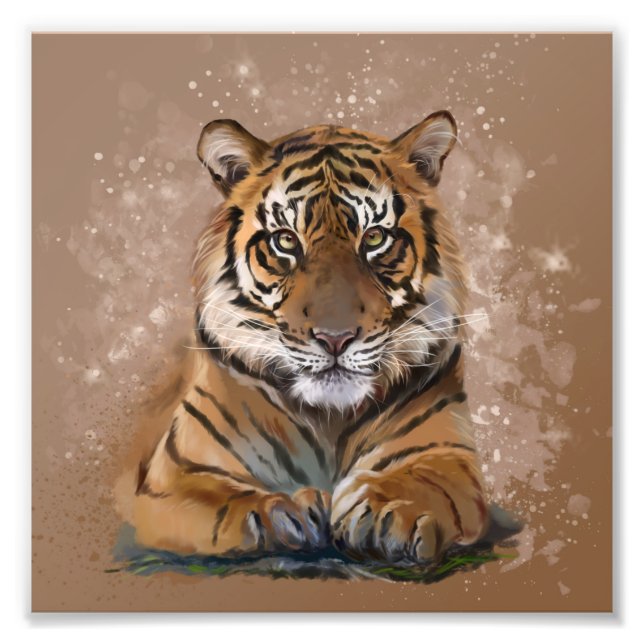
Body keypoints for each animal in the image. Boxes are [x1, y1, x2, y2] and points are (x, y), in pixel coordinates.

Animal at [116, 110, 489, 565]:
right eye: (286, 241)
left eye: (374, 238)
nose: (335, 338)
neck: (329, 418)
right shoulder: (174, 476)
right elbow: (222, 502)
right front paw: (283, 511)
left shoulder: (448, 454)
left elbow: (429, 482)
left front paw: (386, 508)